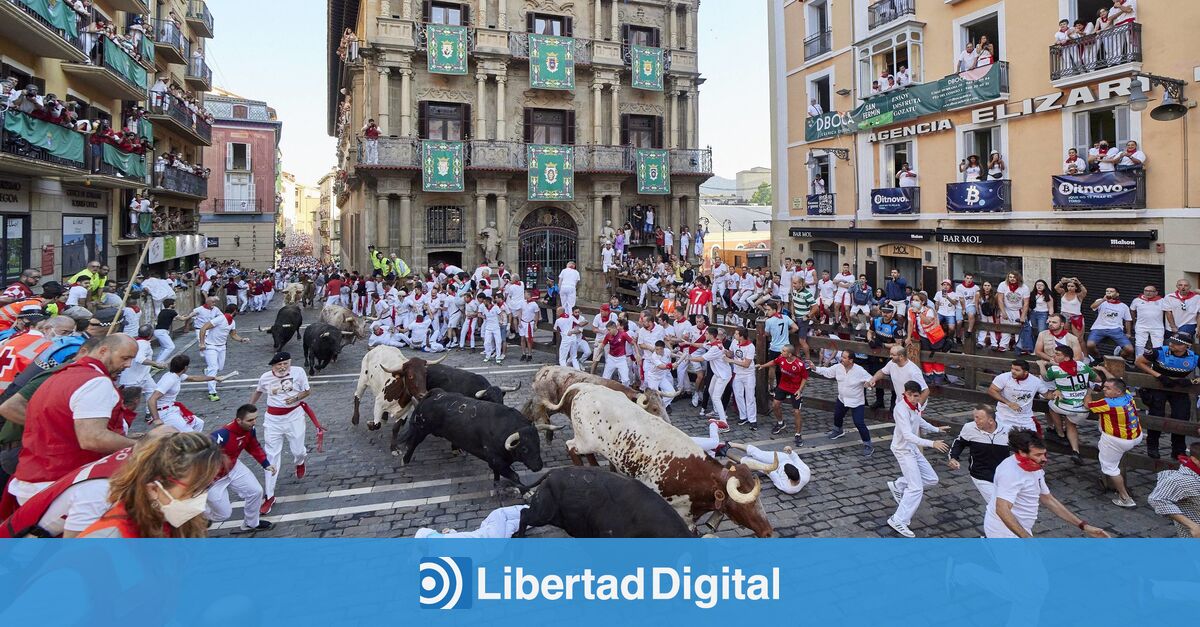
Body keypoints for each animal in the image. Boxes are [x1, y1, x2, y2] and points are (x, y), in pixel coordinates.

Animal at [396, 384, 559, 487]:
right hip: (421, 429)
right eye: (524, 448)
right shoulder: (495, 459)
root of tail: (437, 394)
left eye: (538, 443)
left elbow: (498, 474)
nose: (538, 466)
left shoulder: (496, 462)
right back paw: (405, 460)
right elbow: (514, 476)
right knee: (413, 443)